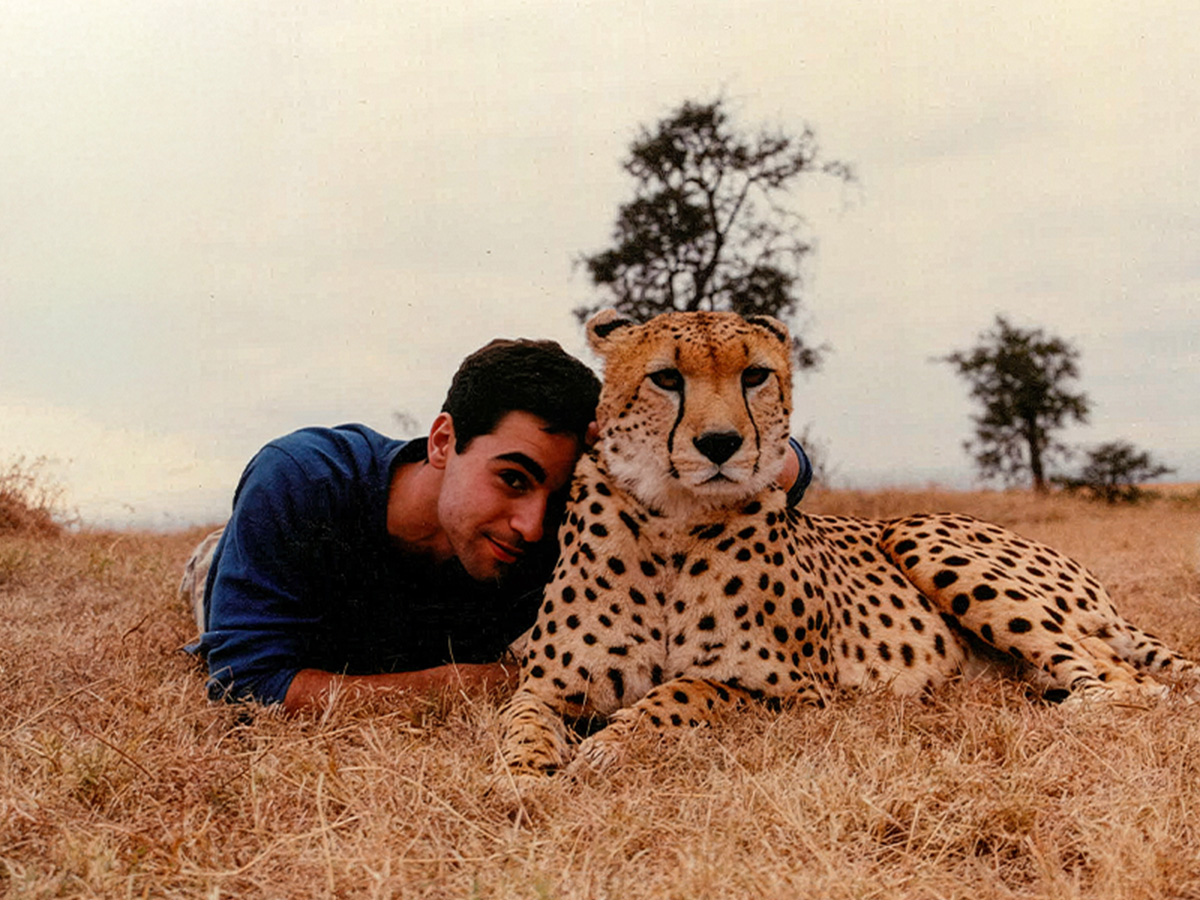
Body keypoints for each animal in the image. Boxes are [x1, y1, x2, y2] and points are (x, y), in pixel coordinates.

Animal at [497, 309, 1200, 777]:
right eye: (666, 379)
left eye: (755, 375)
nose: (721, 444)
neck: (675, 522)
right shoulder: (546, 688)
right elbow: (519, 721)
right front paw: (526, 776)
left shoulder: (799, 693)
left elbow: (688, 693)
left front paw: (610, 745)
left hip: (917, 533)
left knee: (1131, 683)